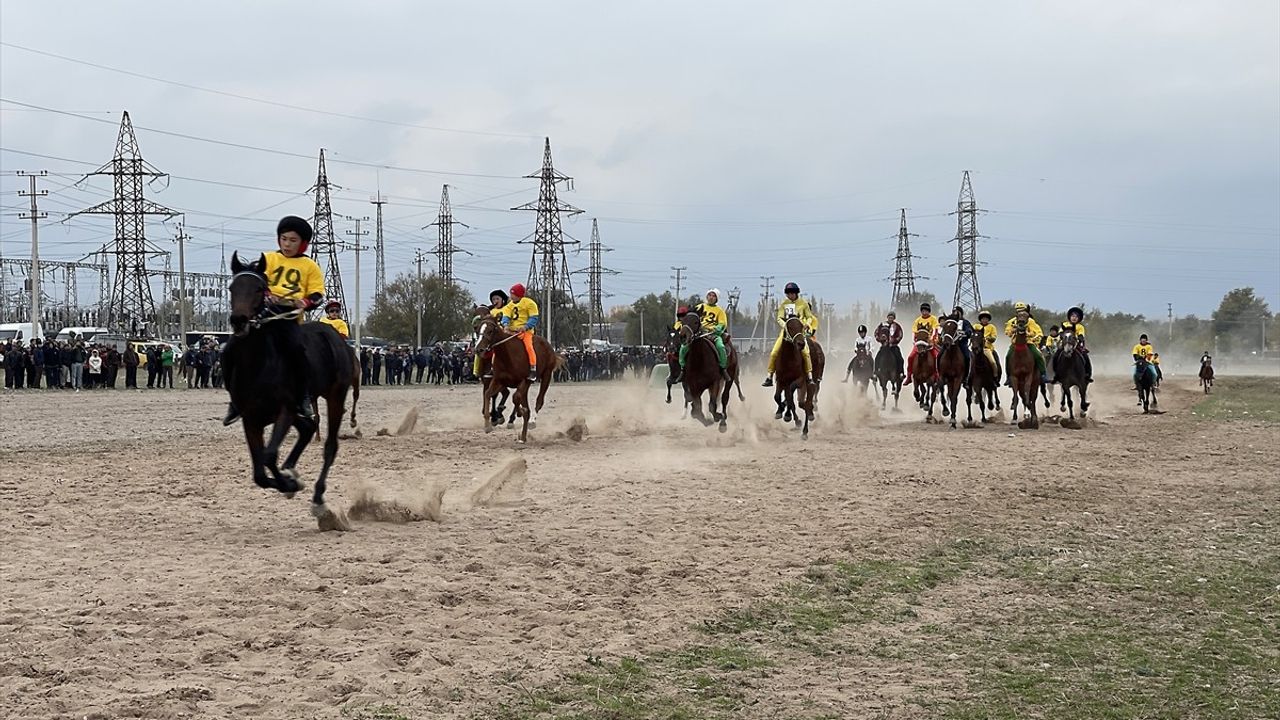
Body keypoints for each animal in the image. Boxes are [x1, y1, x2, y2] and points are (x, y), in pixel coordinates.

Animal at [224, 252, 353, 527]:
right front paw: (288, 481)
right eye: (232, 288)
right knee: (308, 427)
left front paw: (291, 484)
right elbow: (260, 473)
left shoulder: (285, 410)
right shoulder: (251, 419)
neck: (259, 364)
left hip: (335, 396)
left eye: (260, 289)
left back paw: (318, 500)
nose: (239, 321)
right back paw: (291, 469)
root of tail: (333, 334)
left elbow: (269, 456)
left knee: (329, 446)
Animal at [473, 313, 563, 443]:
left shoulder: (523, 380)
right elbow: (488, 394)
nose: (478, 349)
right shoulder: (498, 380)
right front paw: (488, 425)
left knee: (539, 400)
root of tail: (548, 345)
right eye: (477, 329)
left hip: (546, 375)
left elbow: (515, 398)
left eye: (490, 330)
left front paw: (517, 414)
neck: (507, 356)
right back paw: (523, 437)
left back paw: (531, 421)